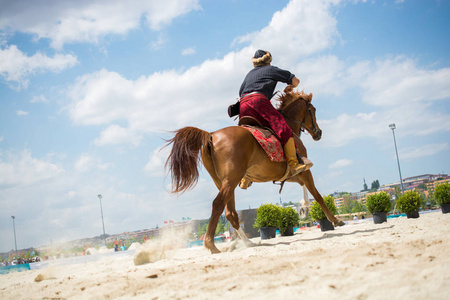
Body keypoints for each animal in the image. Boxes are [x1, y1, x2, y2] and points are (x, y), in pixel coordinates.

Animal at [165, 91, 344, 253]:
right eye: (313, 110)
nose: (318, 133)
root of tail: (211, 135)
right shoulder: (303, 170)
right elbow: (317, 195)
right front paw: (335, 220)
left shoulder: (288, 173)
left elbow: (304, 186)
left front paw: (304, 209)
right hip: (231, 180)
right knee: (218, 205)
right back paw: (211, 245)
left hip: (223, 182)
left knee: (230, 212)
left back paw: (247, 243)